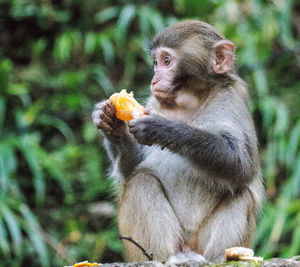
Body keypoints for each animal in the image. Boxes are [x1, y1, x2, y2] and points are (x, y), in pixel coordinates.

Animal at [92, 19, 264, 264]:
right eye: (155, 62)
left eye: (167, 61)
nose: (154, 79)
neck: (189, 102)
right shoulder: (153, 101)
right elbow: (131, 168)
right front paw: (111, 123)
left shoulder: (232, 98)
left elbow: (241, 165)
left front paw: (164, 129)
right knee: (142, 180)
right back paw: (164, 259)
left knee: (241, 193)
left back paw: (222, 258)